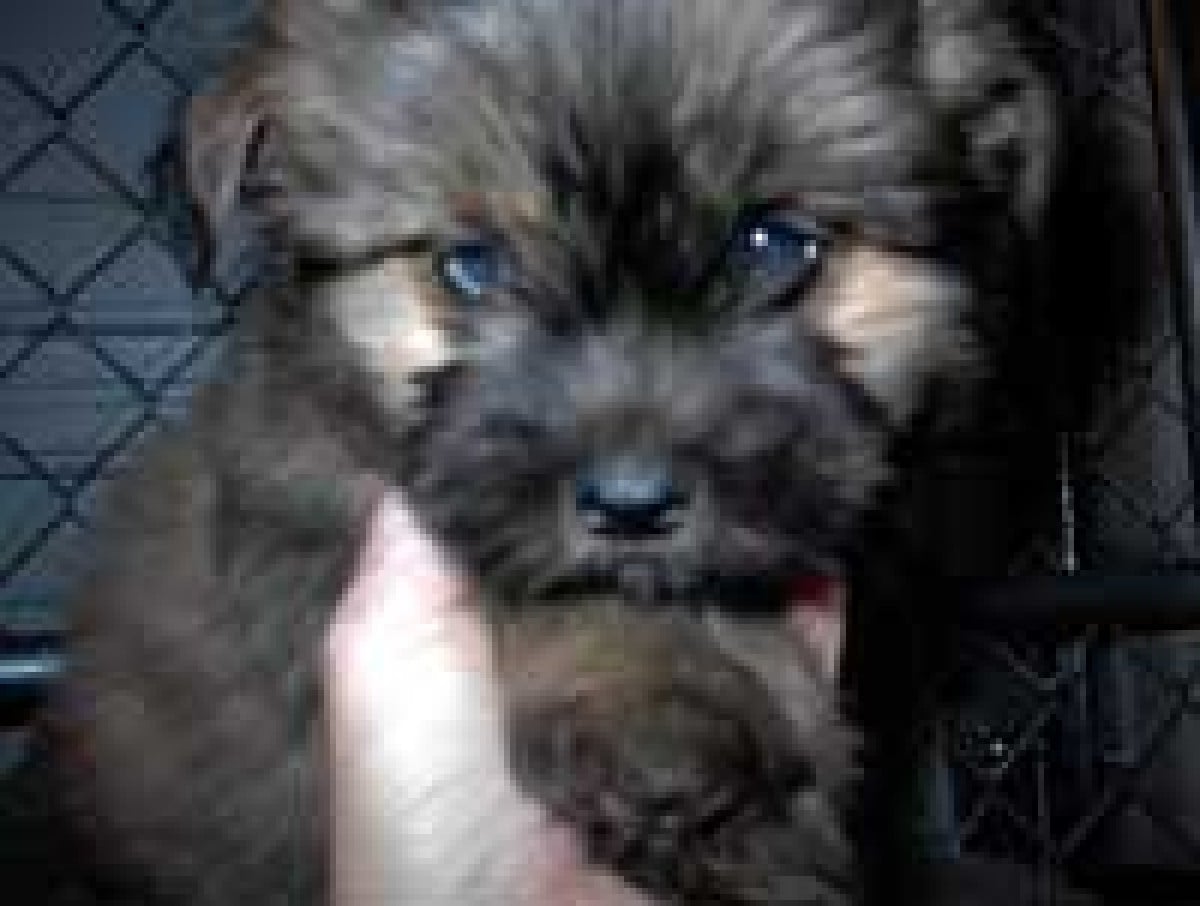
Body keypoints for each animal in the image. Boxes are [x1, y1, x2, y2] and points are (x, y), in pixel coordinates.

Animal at [38, 1, 1054, 903]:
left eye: (772, 246)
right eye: (473, 265)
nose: (633, 503)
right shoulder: (314, 517)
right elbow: (560, 595)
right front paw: (652, 704)